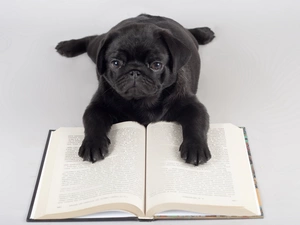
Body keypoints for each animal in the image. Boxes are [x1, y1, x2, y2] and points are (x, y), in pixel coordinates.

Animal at [55, 14, 214, 165]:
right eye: (116, 63)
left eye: (156, 65)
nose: (135, 72)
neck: (141, 102)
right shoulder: (98, 106)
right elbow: (93, 122)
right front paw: (93, 144)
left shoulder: (192, 106)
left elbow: (195, 124)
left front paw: (195, 147)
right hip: (95, 48)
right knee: (92, 39)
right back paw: (68, 46)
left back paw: (204, 33)